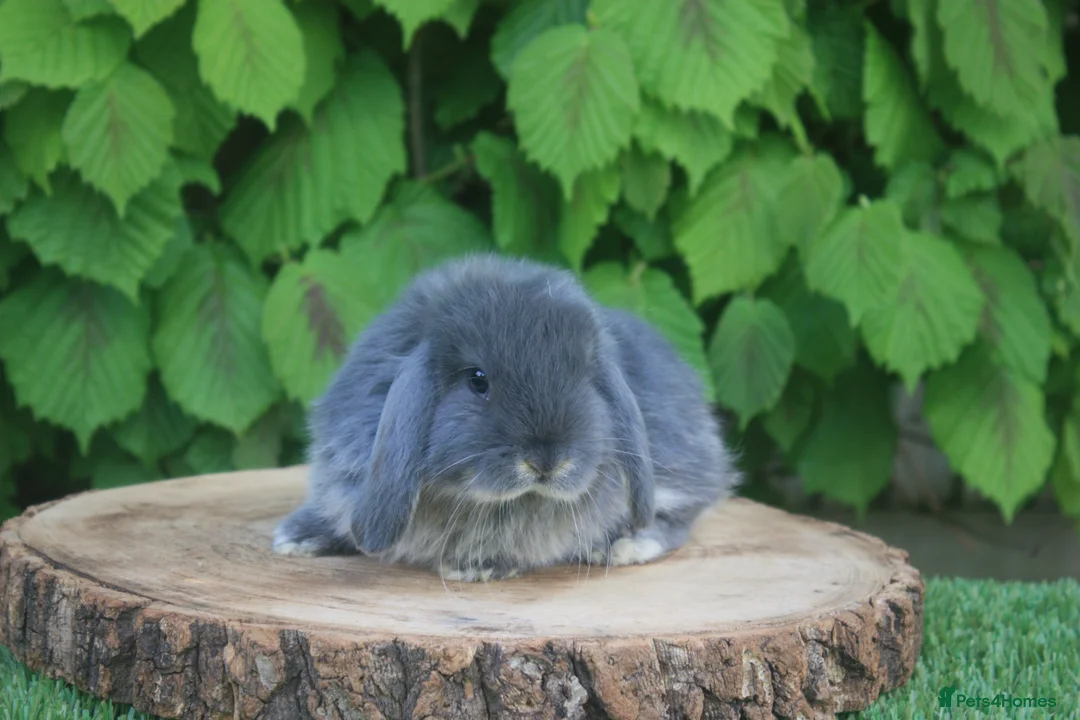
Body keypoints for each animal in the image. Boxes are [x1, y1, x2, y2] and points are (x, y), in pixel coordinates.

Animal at [272, 253, 740, 581]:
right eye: (478, 380)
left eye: (585, 375)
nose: (548, 461)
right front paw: (296, 537)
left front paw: (477, 566)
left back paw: (625, 546)